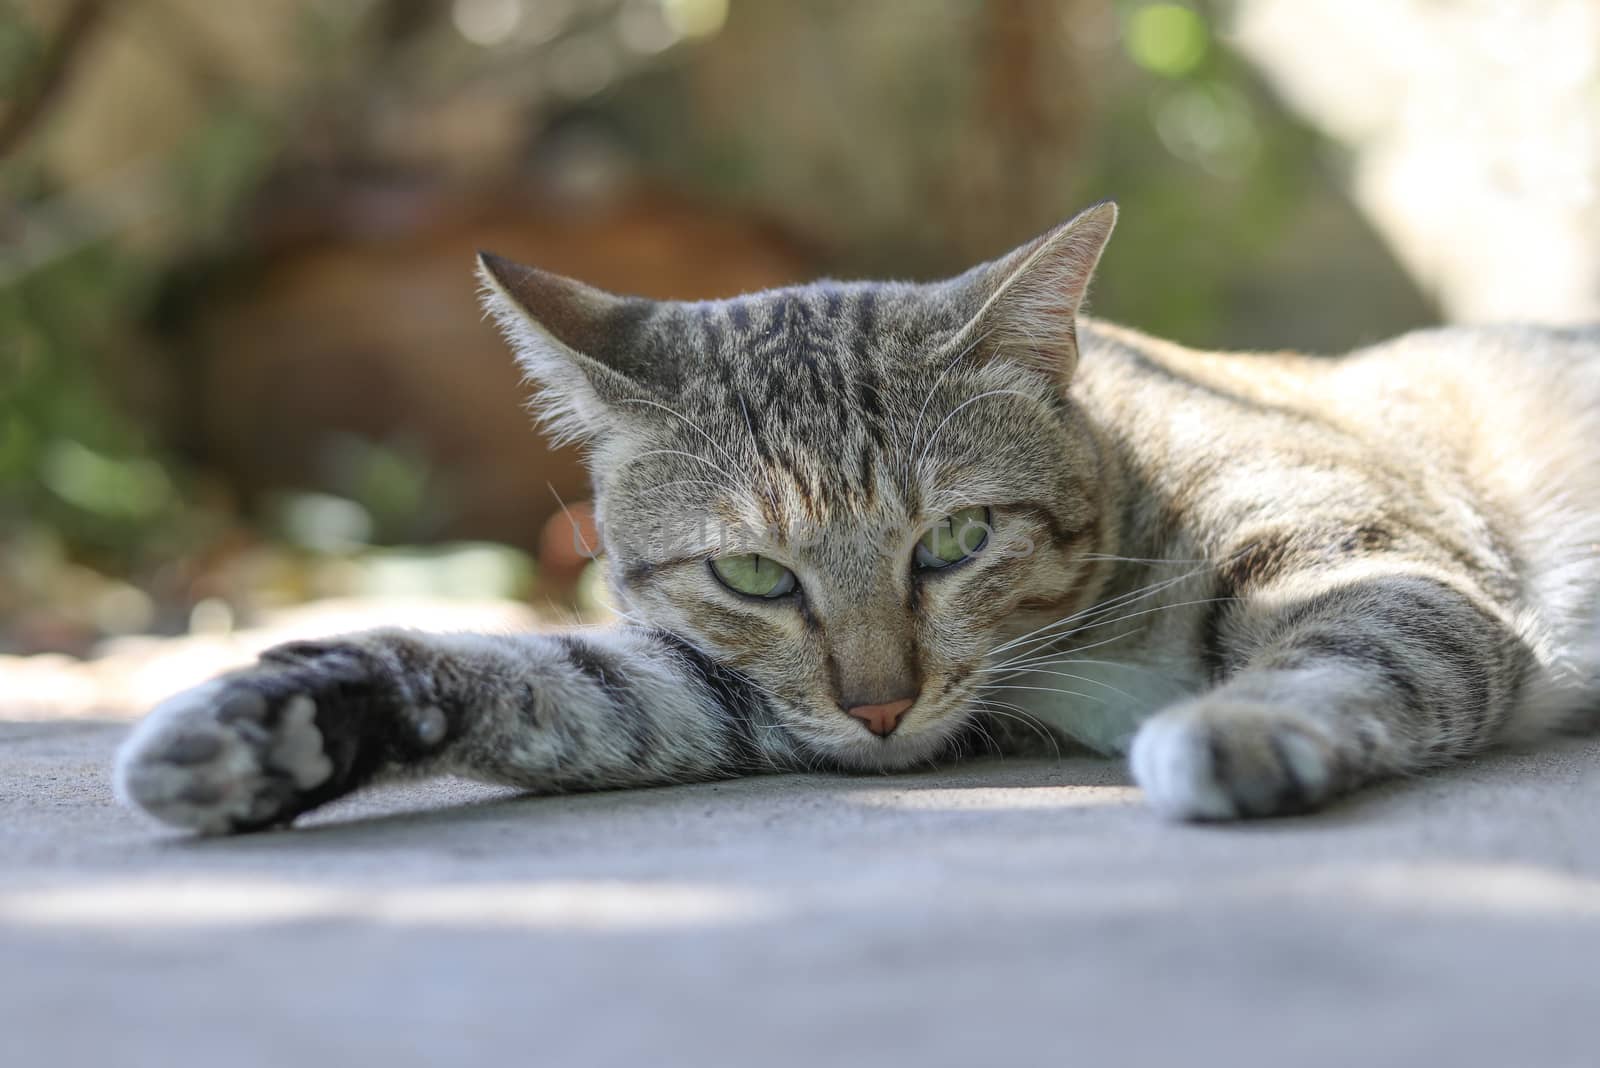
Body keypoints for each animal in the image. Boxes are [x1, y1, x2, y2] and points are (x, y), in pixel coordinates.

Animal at [112, 202, 1600, 831]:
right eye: (754, 575)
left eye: (952, 541)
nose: (881, 707)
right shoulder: (743, 693)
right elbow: (551, 680)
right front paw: (280, 722)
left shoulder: (1390, 568)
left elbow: (1345, 647)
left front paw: (1238, 727)